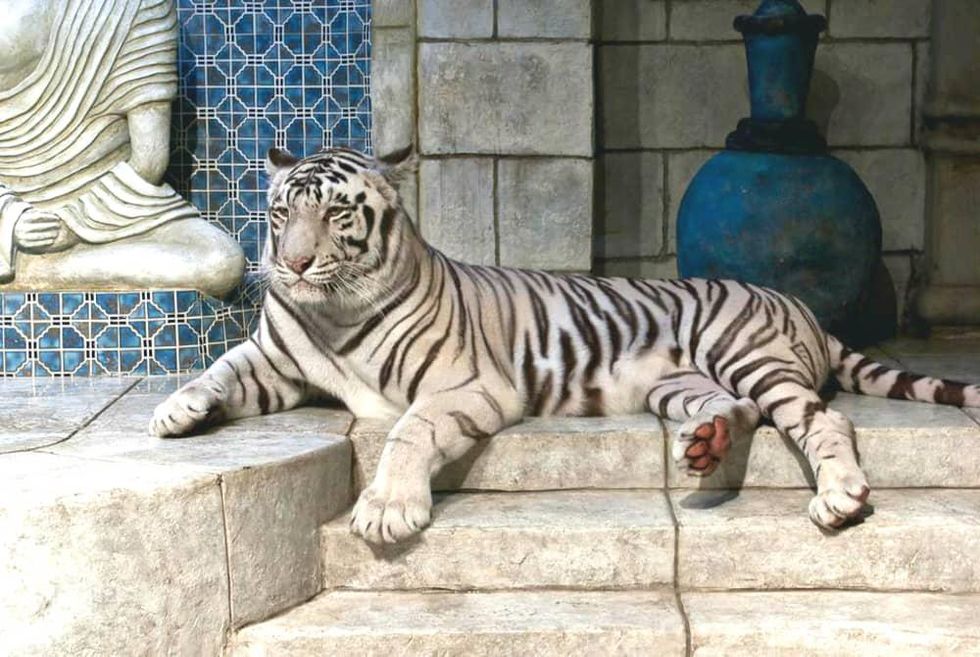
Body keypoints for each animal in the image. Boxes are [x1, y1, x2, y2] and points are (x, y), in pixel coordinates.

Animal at [150, 145, 980, 545]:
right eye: (280, 214)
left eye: (334, 216)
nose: (290, 263)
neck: (331, 313)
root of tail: (800, 304)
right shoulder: (277, 361)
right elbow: (221, 367)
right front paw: (176, 409)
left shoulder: (466, 385)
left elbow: (410, 430)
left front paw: (386, 509)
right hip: (679, 380)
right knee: (737, 409)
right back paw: (706, 446)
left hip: (741, 348)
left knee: (821, 417)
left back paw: (839, 497)